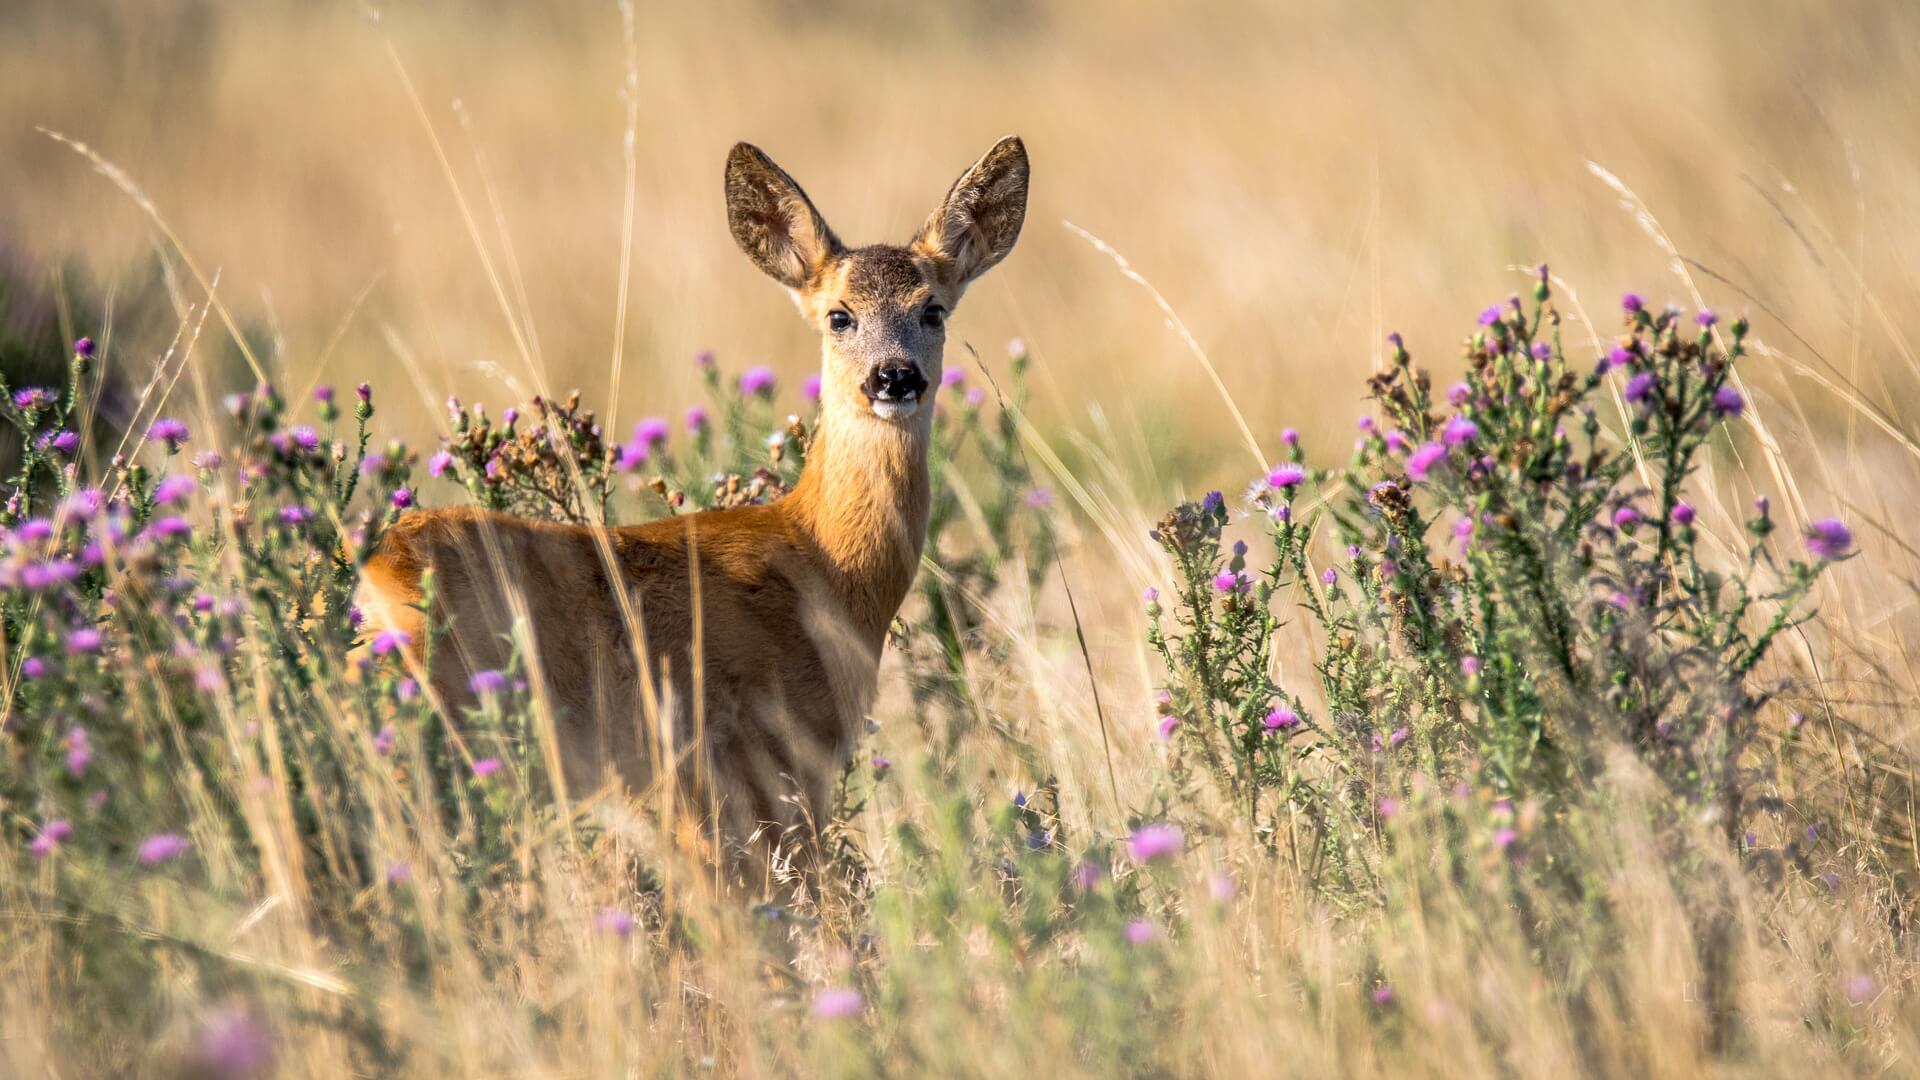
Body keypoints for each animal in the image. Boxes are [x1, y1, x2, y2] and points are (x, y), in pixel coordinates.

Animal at [353, 134, 1029, 883]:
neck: (824, 564)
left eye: (934, 309)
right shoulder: (760, 758)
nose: (894, 377)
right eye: (839, 315)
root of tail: (377, 571)